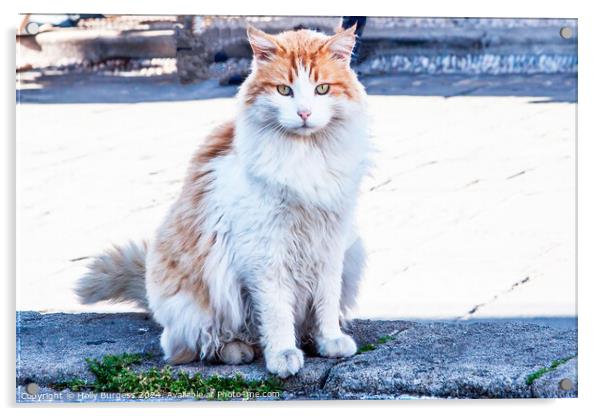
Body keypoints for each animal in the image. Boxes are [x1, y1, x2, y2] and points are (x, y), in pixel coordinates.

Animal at [77, 25, 368, 376]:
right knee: (193, 344)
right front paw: (282, 353)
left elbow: (326, 300)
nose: (304, 113)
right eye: (284, 90)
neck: (305, 155)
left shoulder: (330, 243)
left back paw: (305, 339)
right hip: (200, 303)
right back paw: (238, 349)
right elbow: (276, 311)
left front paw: (329, 340)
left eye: (322, 89)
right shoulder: (265, 252)